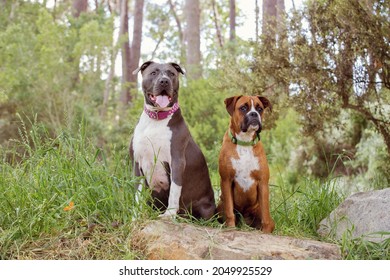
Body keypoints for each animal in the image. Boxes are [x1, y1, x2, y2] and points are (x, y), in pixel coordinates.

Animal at [216, 95, 274, 233]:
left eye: (260, 109)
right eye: (243, 108)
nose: (254, 114)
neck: (245, 143)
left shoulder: (263, 183)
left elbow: (265, 214)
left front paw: (266, 232)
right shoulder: (226, 180)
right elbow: (229, 210)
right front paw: (231, 227)